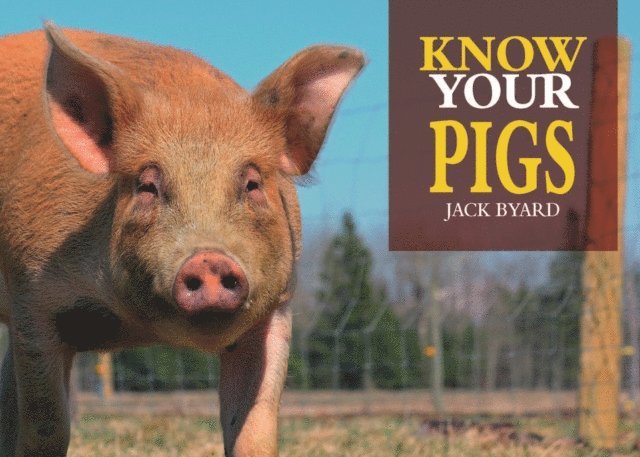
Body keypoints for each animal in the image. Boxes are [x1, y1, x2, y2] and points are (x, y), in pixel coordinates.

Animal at [0, 22, 364, 456]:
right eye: (147, 186)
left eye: (252, 183)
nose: (208, 259)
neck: (135, 329)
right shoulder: (31, 297)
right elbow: (47, 427)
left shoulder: (278, 308)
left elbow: (255, 428)